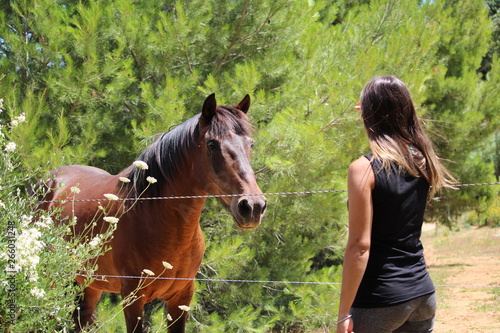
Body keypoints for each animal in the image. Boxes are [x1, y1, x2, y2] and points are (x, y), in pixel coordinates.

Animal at [38, 94, 268, 332]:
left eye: (250, 144)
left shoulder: (181, 299)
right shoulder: (133, 299)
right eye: (212, 144)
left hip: (89, 286)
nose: (253, 206)